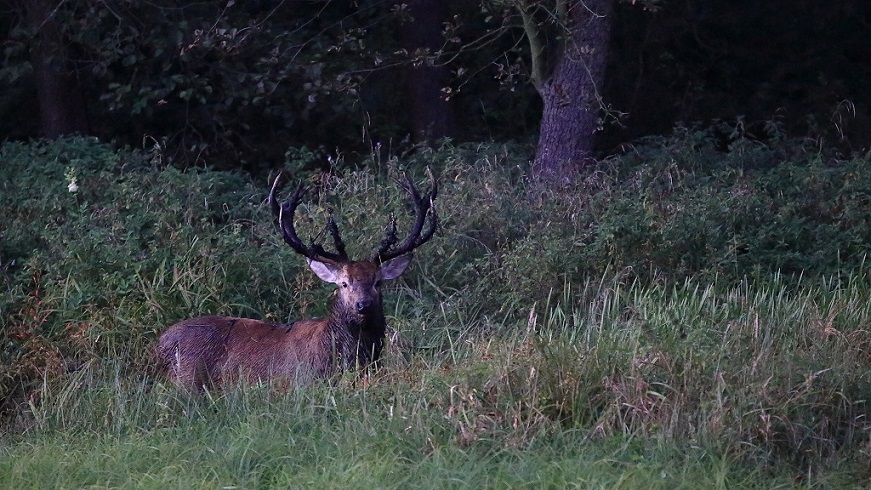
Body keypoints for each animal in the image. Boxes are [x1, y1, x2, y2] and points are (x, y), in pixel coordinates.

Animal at [155, 170, 438, 389]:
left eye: (377, 282)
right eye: (343, 283)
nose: (363, 305)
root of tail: (161, 344)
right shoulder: (302, 383)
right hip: (189, 378)